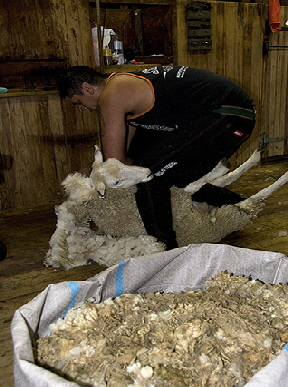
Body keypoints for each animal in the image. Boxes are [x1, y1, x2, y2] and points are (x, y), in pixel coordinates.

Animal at [45, 149, 288, 270]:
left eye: (118, 161)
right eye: (115, 182)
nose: (148, 172)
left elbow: (220, 179)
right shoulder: (181, 199)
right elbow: (200, 182)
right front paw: (221, 165)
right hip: (229, 211)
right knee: (254, 197)